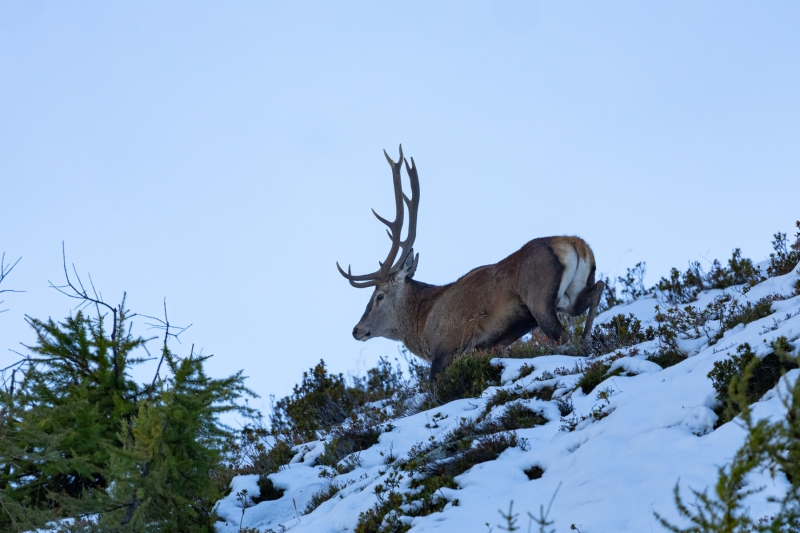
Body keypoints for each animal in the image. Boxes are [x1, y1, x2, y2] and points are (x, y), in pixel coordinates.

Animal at [337, 146, 605, 381]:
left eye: (379, 296)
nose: (356, 329)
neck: (423, 325)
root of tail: (574, 244)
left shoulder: (446, 350)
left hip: (540, 301)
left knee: (564, 336)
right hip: (571, 296)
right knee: (597, 289)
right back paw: (588, 341)